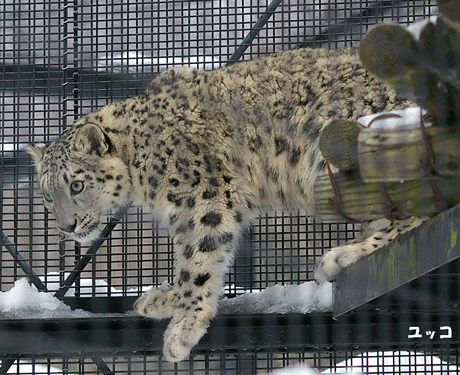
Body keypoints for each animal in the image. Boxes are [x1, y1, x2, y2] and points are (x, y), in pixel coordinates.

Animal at [28, 48, 426, 362]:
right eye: (47, 195)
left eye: (77, 184)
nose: (65, 227)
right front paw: (164, 299)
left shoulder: (202, 195)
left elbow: (197, 260)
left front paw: (183, 327)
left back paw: (343, 255)